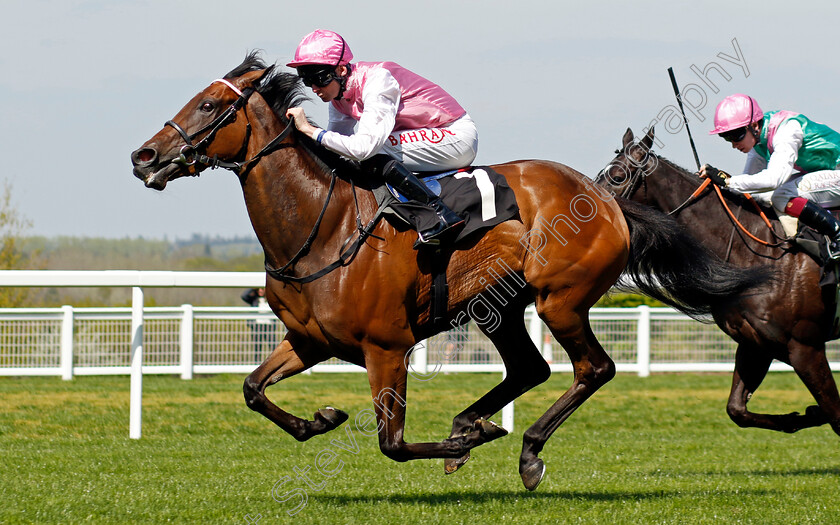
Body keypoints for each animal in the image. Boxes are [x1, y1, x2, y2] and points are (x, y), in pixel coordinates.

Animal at [130, 55, 768, 490]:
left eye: (209, 106)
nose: (144, 156)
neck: (324, 226)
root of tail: (607, 199)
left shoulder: (387, 347)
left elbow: (392, 443)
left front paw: (477, 436)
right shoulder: (311, 340)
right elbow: (252, 388)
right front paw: (322, 418)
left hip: (560, 300)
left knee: (593, 369)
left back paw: (523, 448)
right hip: (499, 308)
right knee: (531, 368)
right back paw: (471, 424)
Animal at [596, 128, 840, 438]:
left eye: (617, 177)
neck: (760, 254)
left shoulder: (806, 347)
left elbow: (837, 415)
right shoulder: (756, 343)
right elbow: (737, 410)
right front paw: (802, 416)